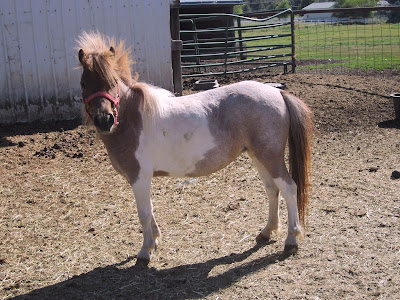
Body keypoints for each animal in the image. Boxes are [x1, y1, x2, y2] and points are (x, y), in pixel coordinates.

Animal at [77, 31, 312, 266]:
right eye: (83, 84)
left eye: (112, 82)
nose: (104, 120)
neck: (131, 119)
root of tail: (277, 94)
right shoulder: (141, 179)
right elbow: (150, 210)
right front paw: (155, 241)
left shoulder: (139, 177)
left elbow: (143, 212)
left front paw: (145, 251)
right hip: (258, 155)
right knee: (272, 189)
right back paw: (267, 232)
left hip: (270, 157)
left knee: (289, 188)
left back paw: (291, 240)